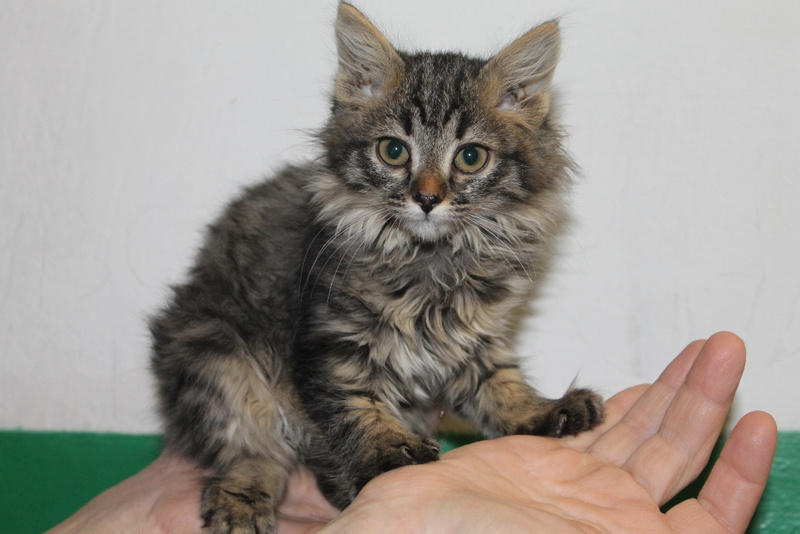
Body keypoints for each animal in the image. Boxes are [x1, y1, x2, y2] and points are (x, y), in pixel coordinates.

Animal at [149, 3, 604, 533]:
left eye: (471, 157)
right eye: (394, 151)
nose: (427, 198)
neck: (429, 261)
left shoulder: (471, 338)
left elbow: (498, 383)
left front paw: (543, 410)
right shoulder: (332, 339)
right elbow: (355, 406)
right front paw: (390, 448)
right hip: (211, 350)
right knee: (251, 450)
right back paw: (241, 503)